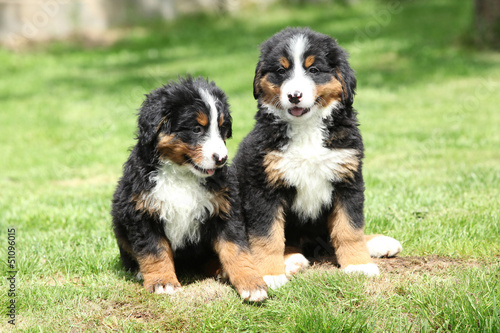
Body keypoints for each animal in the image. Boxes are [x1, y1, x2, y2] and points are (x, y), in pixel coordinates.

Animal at [111, 76, 268, 300]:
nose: (222, 159)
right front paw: (162, 282)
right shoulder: (142, 212)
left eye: (222, 129)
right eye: (196, 129)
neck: (182, 174)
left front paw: (251, 282)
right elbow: (154, 251)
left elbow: (236, 249)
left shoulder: (225, 210)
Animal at [233, 27, 402, 288]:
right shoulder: (263, 188)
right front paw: (269, 274)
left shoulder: (347, 180)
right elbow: (267, 236)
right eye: (281, 71)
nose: (294, 96)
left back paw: (377, 242)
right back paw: (291, 261)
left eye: (313, 70)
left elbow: (350, 228)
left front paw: (358, 265)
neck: (306, 128)